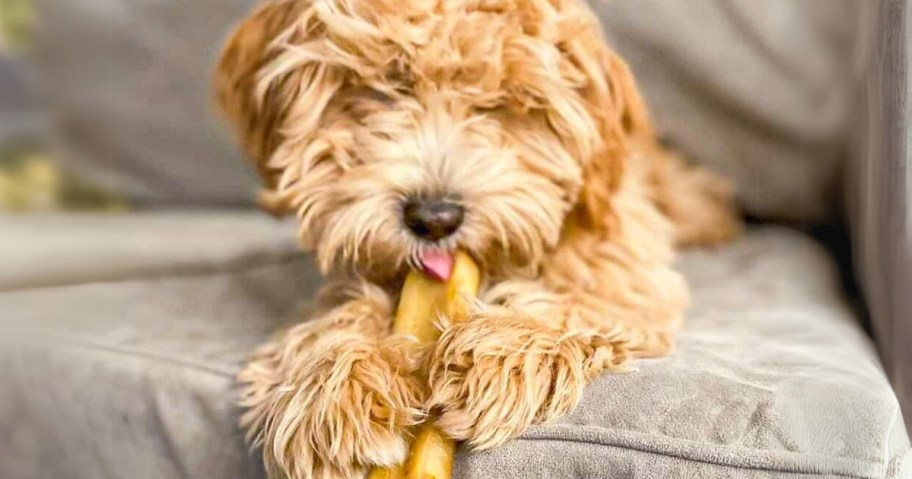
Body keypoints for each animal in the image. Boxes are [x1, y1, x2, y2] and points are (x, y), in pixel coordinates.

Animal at [216, 0, 740, 479]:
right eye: (382, 91)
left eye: (500, 106)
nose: (434, 219)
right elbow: (337, 317)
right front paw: (335, 391)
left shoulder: (621, 265)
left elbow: (575, 299)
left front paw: (491, 355)